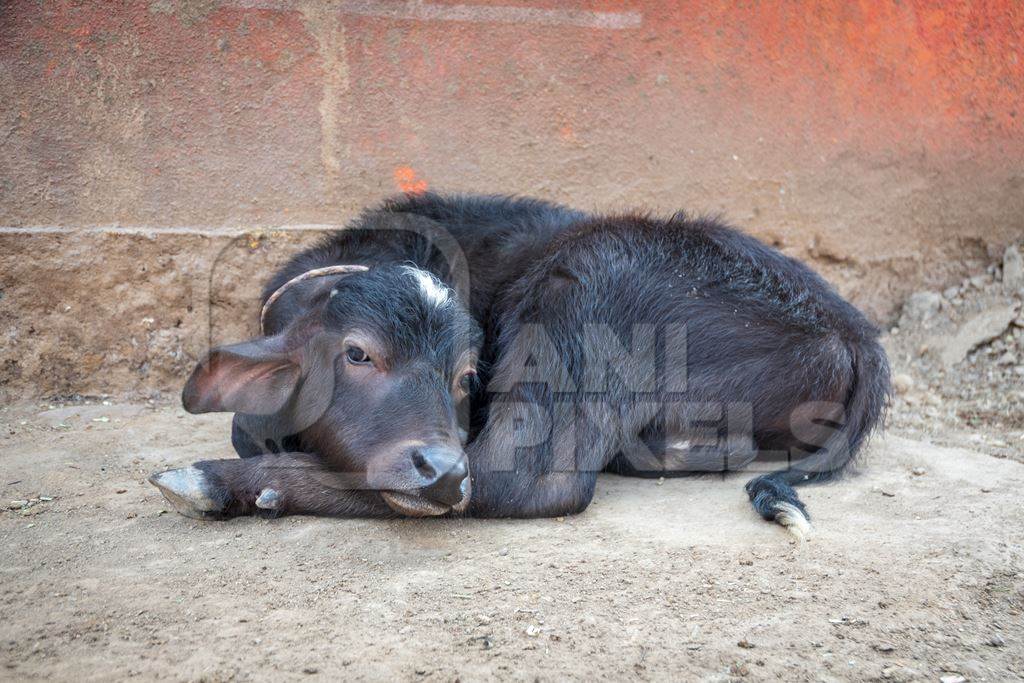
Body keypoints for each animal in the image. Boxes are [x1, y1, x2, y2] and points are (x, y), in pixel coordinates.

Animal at [149, 189, 888, 536]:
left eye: (465, 374)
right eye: (356, 353)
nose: (440, 471)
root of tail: (851, 331)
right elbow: (247, 425)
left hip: (584, 277)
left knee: (522, 480)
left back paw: (213, 481)